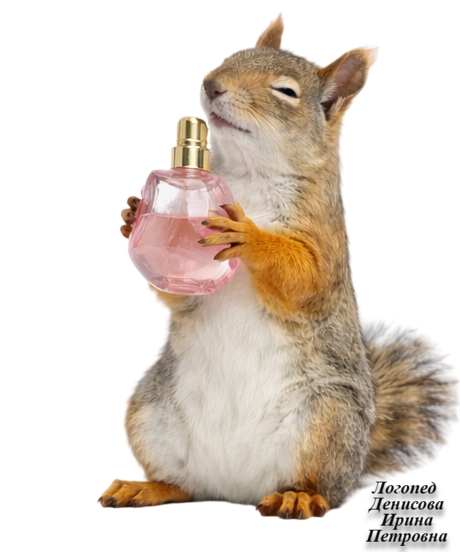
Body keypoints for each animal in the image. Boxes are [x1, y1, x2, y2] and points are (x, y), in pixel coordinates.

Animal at [99, 16, 455, 519]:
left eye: (286, 91)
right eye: (230, 57)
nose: (211, 84)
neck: (246, 175)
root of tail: (235, 489)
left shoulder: (324, 241)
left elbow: (303, 279)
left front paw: (248, 234)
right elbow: (178, 292)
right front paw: (133, 216)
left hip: (327, 419)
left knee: (321, 486)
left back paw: (296, 495)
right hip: (149, 413)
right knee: (184, 485)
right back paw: (146, 487)